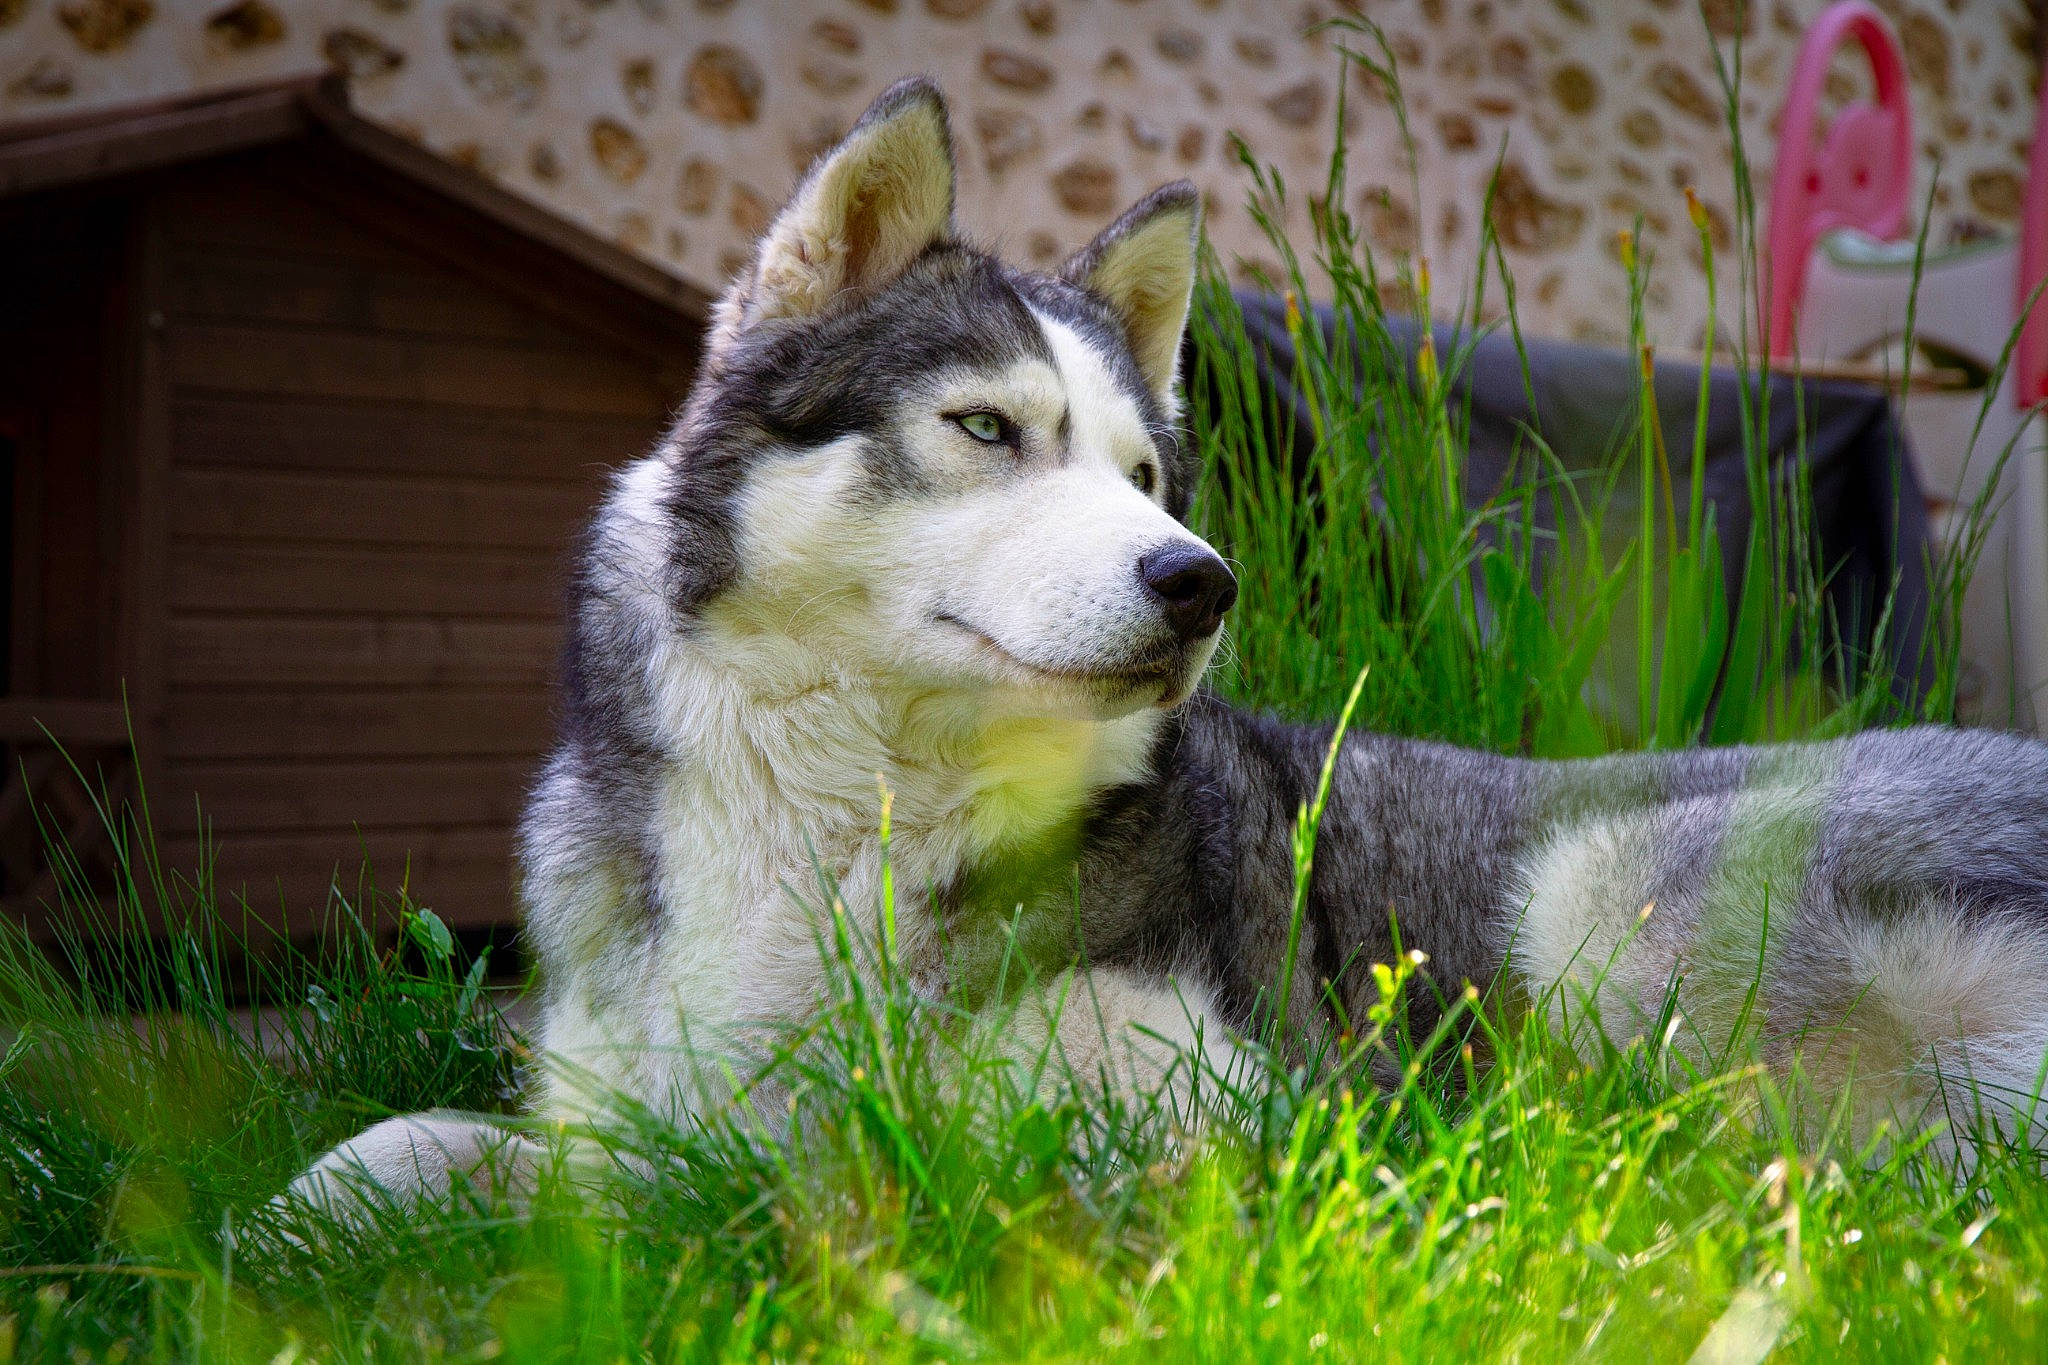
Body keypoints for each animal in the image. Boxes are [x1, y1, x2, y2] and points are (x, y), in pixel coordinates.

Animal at [292, 77, 2048, 1211]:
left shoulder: (1218, 1108)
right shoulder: (620, 1089)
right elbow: (405, 1148)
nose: (1201, 580)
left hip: (1610, 905)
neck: (855, 816)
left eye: (1146, 474)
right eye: (986, 429)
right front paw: (290, 1234)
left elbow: (839, 1159)